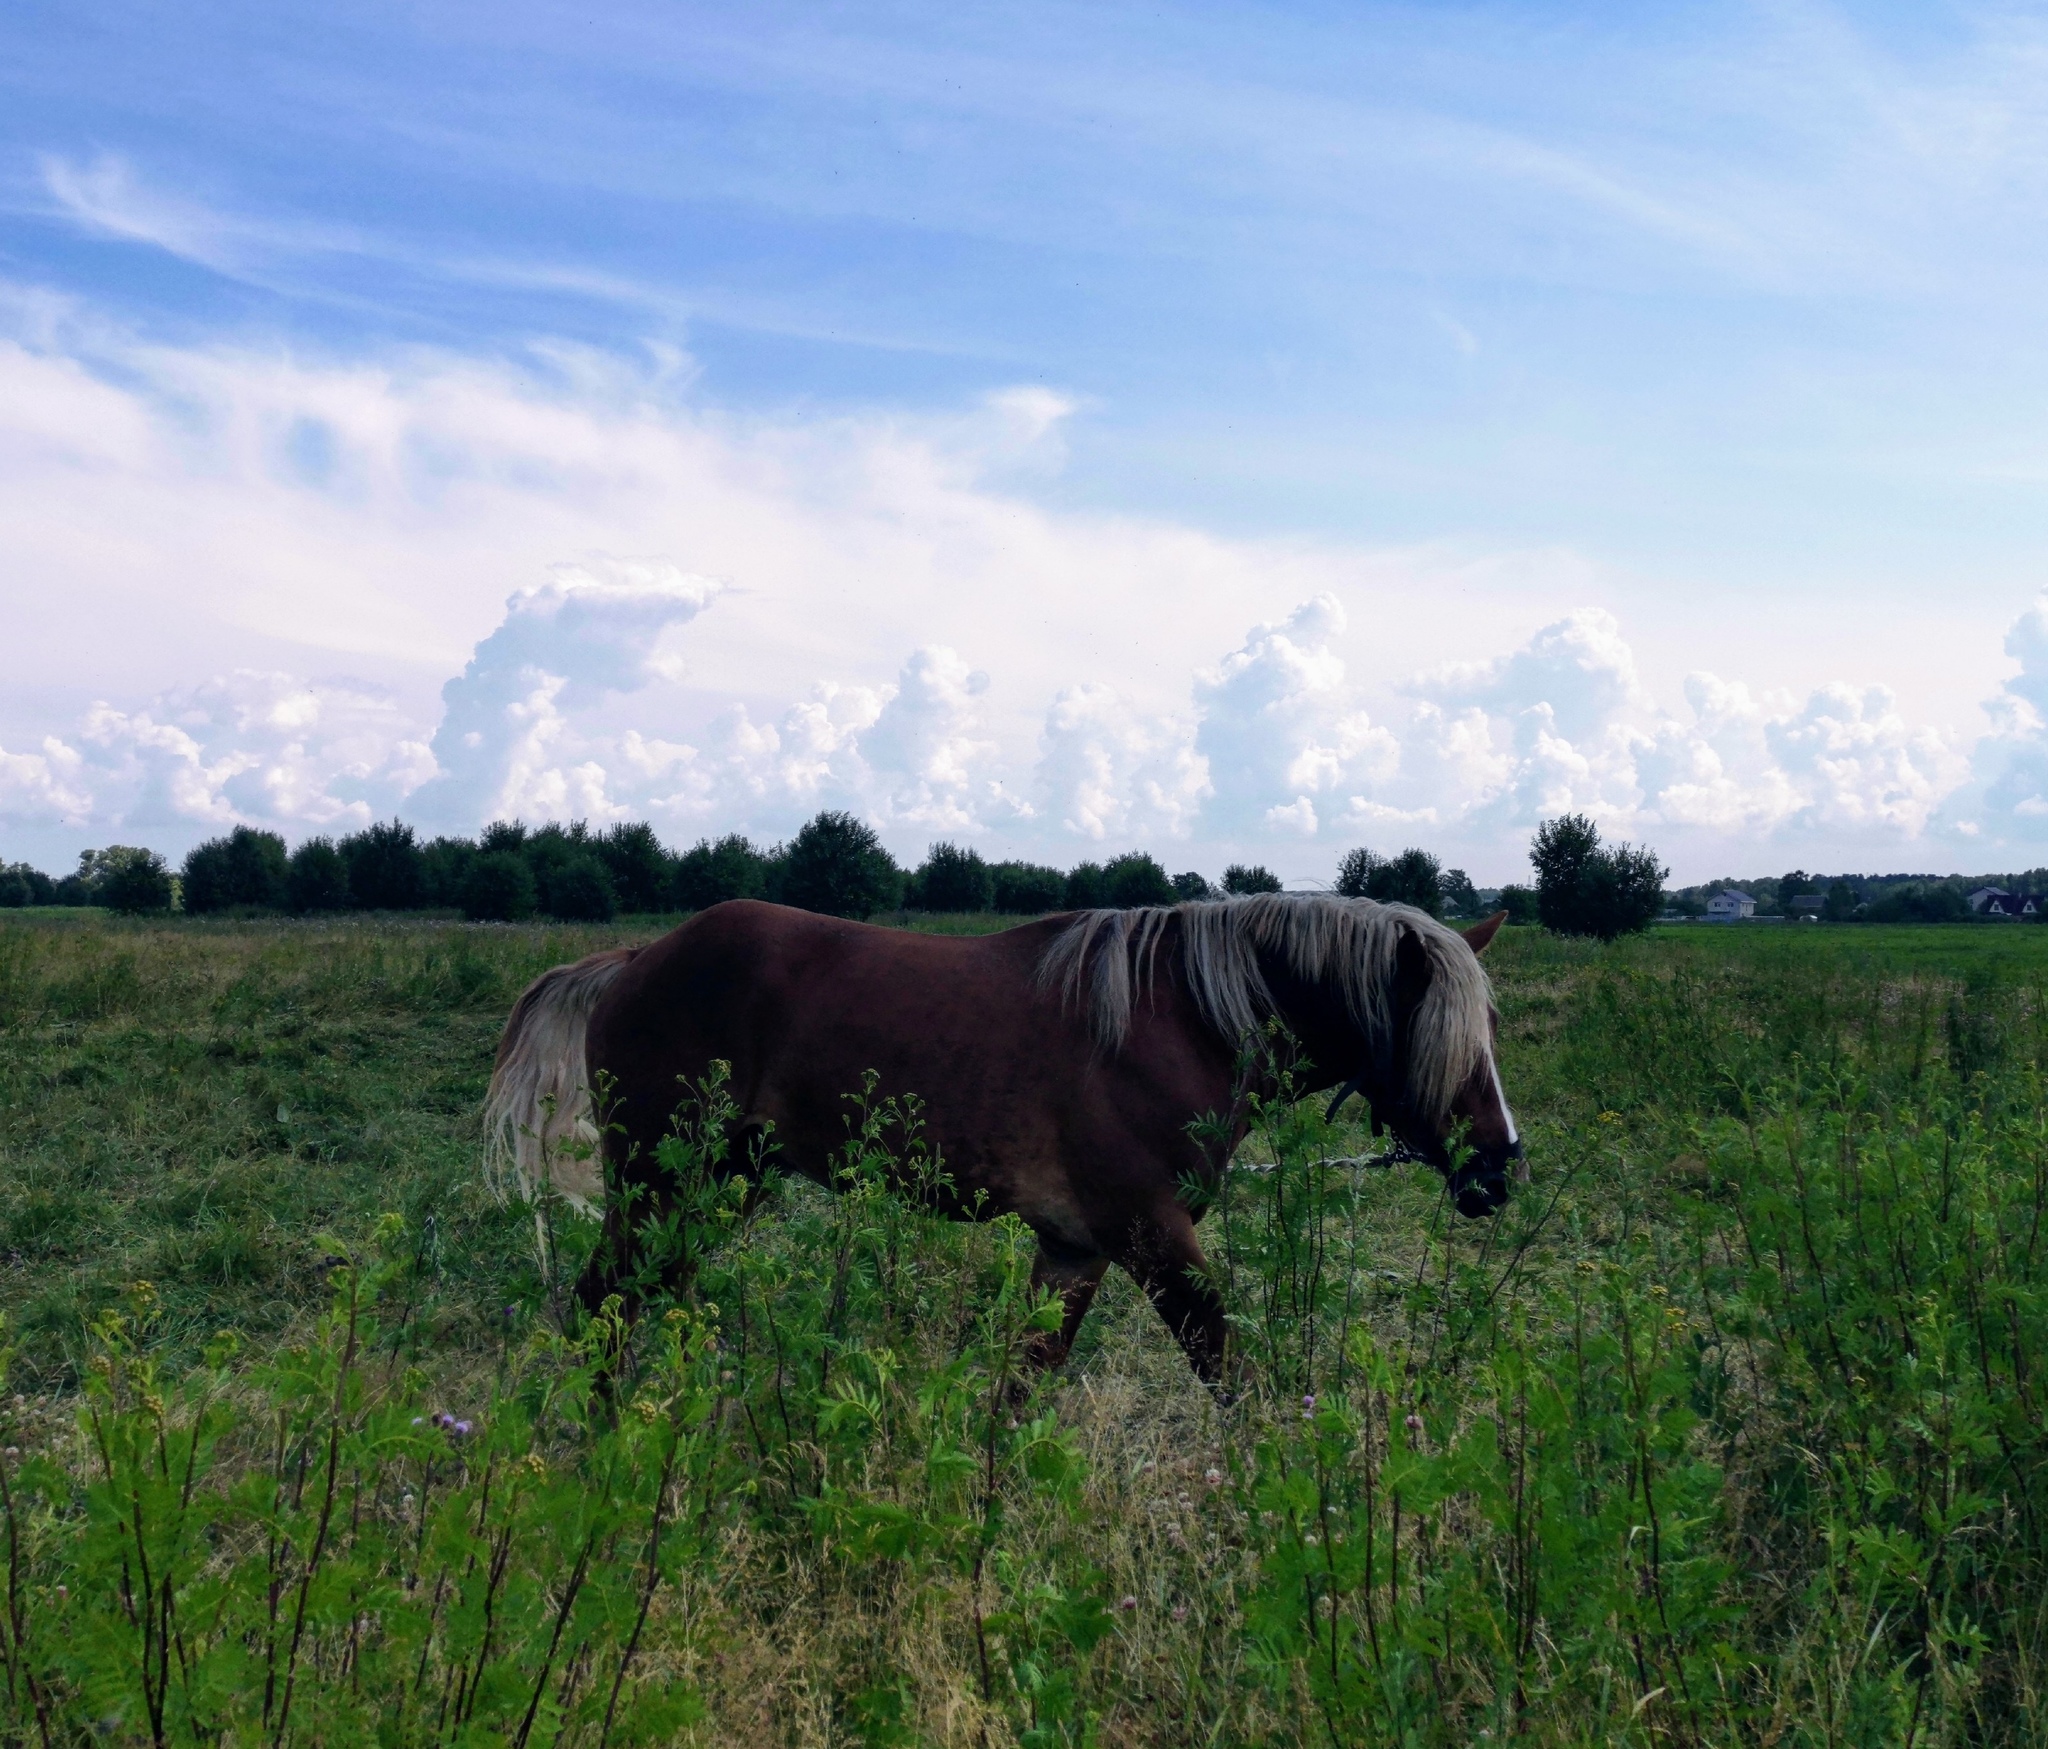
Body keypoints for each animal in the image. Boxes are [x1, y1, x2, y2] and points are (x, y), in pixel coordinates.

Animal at [483, 905, 1523, 1384]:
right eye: (1446, 1042)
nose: (1501, 1169)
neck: (1177, 1021)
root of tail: (635, 958)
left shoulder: (1074, 1246)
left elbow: (1024, 1381)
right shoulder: (1152, 1236)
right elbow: (1225, 1368)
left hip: (715, 1188)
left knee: (643, 1300)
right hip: (664, 1186)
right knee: (602, 1306)